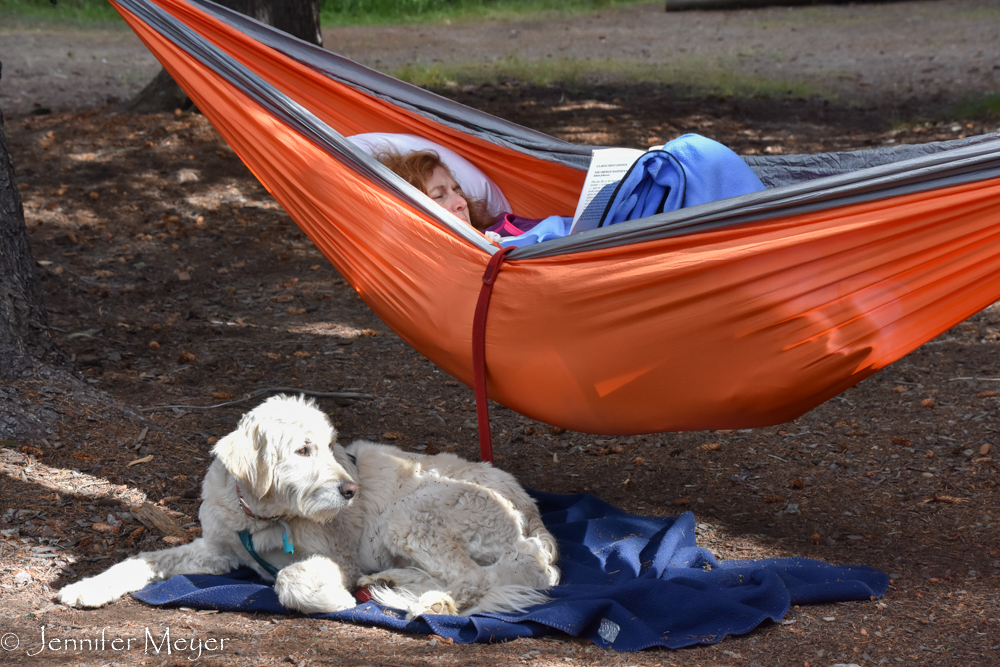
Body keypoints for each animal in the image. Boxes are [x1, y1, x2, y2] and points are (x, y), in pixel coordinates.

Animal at [58, 394, 560, 620]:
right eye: (303, 450)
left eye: (331, 445)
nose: (351, 490)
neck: (261, 517)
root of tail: (532, 519)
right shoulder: (215, 550)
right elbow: (143, 559)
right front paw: (88, 587)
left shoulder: (336, 556)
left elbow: (290, 577)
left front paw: (335, 599)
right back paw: (390, 582)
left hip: (413, 513)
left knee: (471, 581)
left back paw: (423, 600)